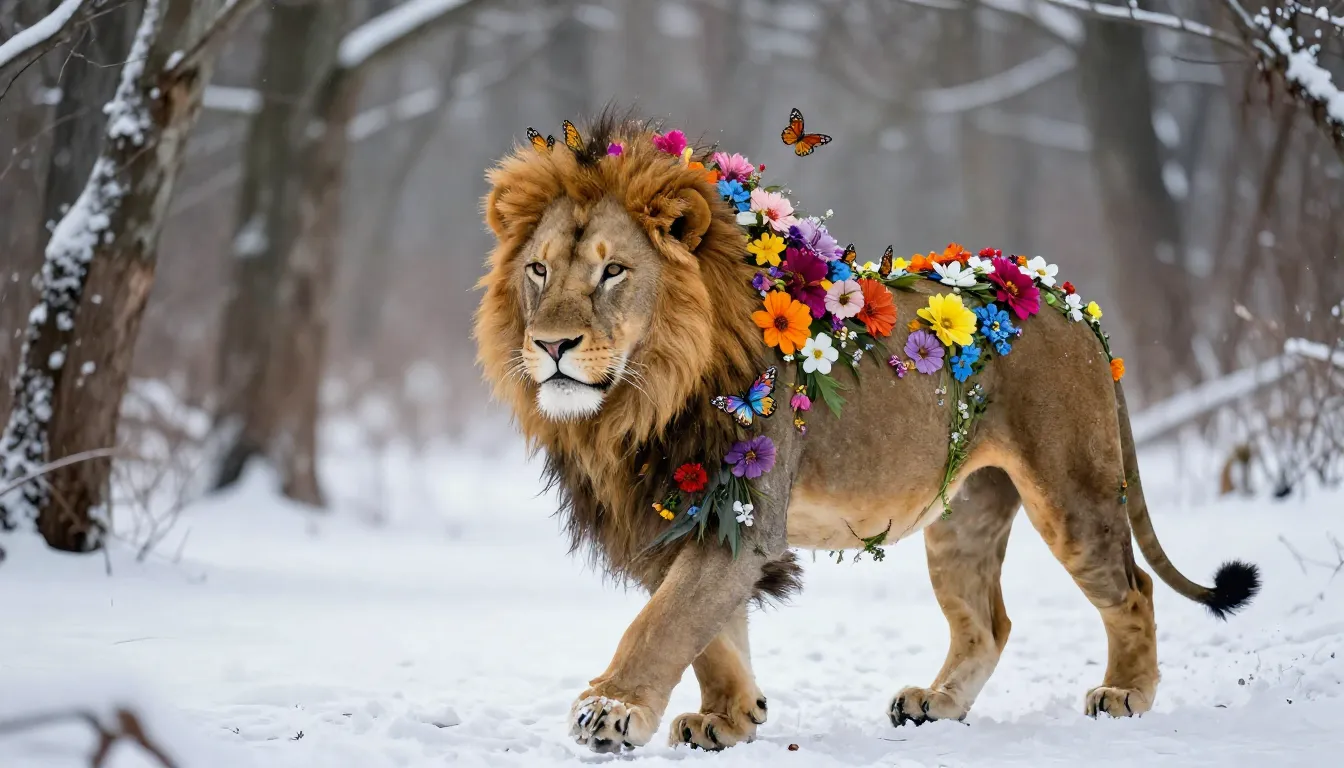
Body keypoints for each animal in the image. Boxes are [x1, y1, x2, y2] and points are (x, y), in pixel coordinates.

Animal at [473, 111, 1260, 753]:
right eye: (538, 270)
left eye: (613, 271)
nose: (551, 345)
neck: (643, 398)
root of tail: (1066, 298)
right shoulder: (681, 515)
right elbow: (708, 633)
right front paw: (730, 717)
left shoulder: (741, 511)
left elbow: (664, 623)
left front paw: (609, 709)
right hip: (963, 516)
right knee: (987, 623)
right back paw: (935, 704)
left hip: (1072, 489)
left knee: (1133, 589)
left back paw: (1126, 692)